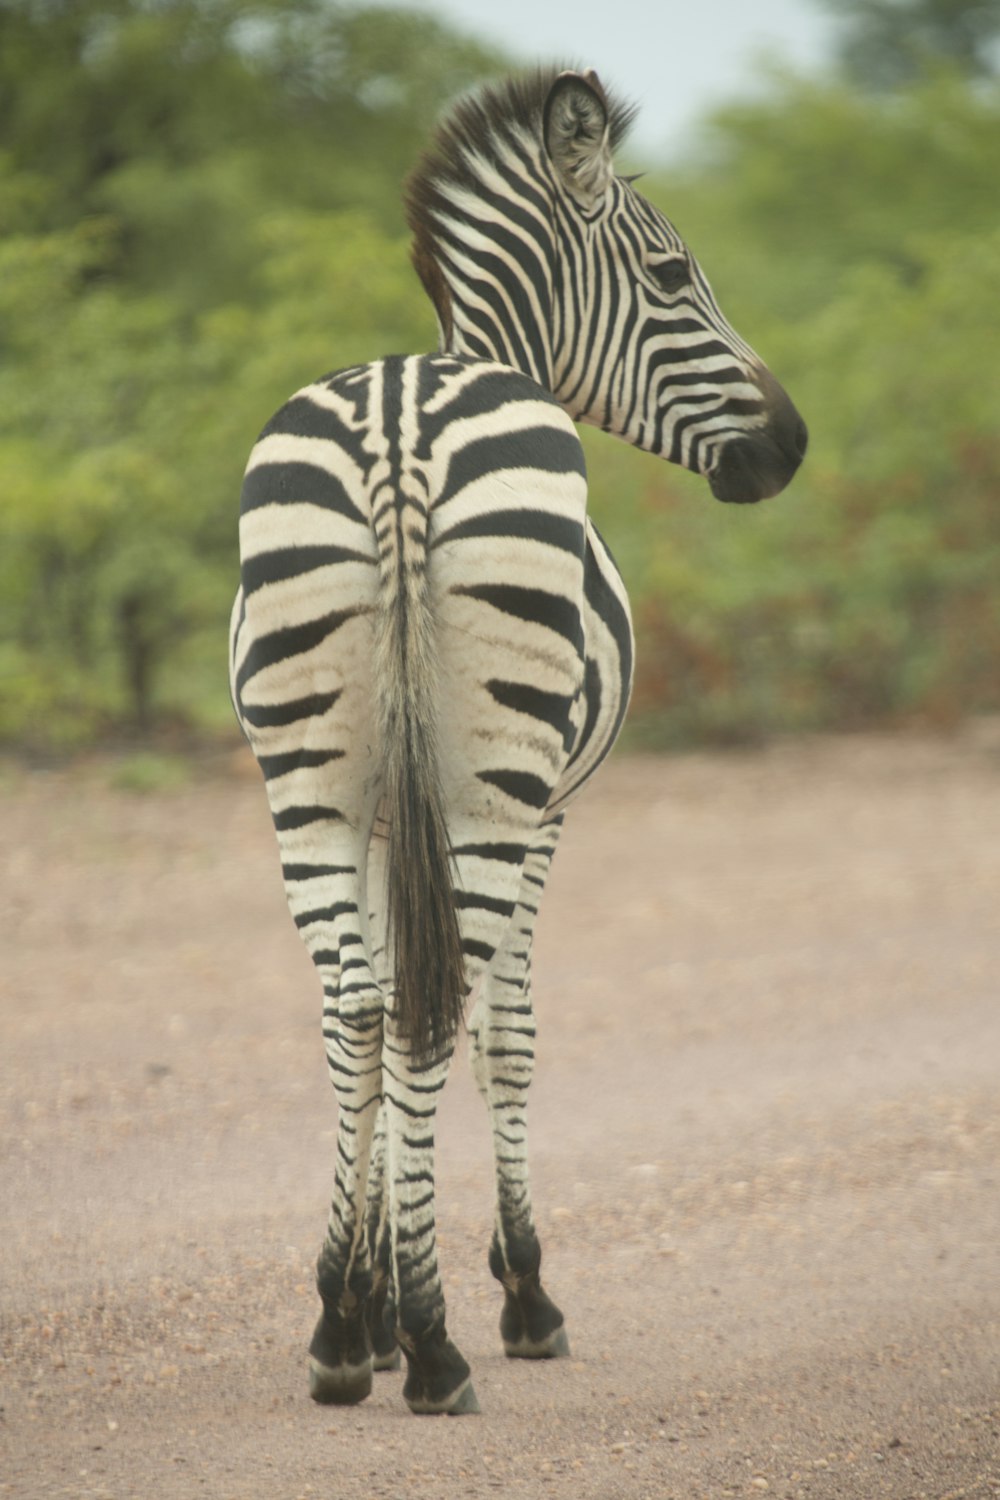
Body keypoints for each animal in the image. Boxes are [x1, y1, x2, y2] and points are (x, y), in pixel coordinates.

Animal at [226, 64, 803, 1410]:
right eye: (670, 273)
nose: (791, 445)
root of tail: (395, 420)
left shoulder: (390, 808)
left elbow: (387, 1001)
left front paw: (369, 1298)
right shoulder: (549, 811)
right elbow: (509, 1035)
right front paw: (511, 1288)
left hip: (308, 782)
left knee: (357, 1007)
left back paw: (339, 1336)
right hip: (496, 789)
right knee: (437, 1016)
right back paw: (443, 1348)